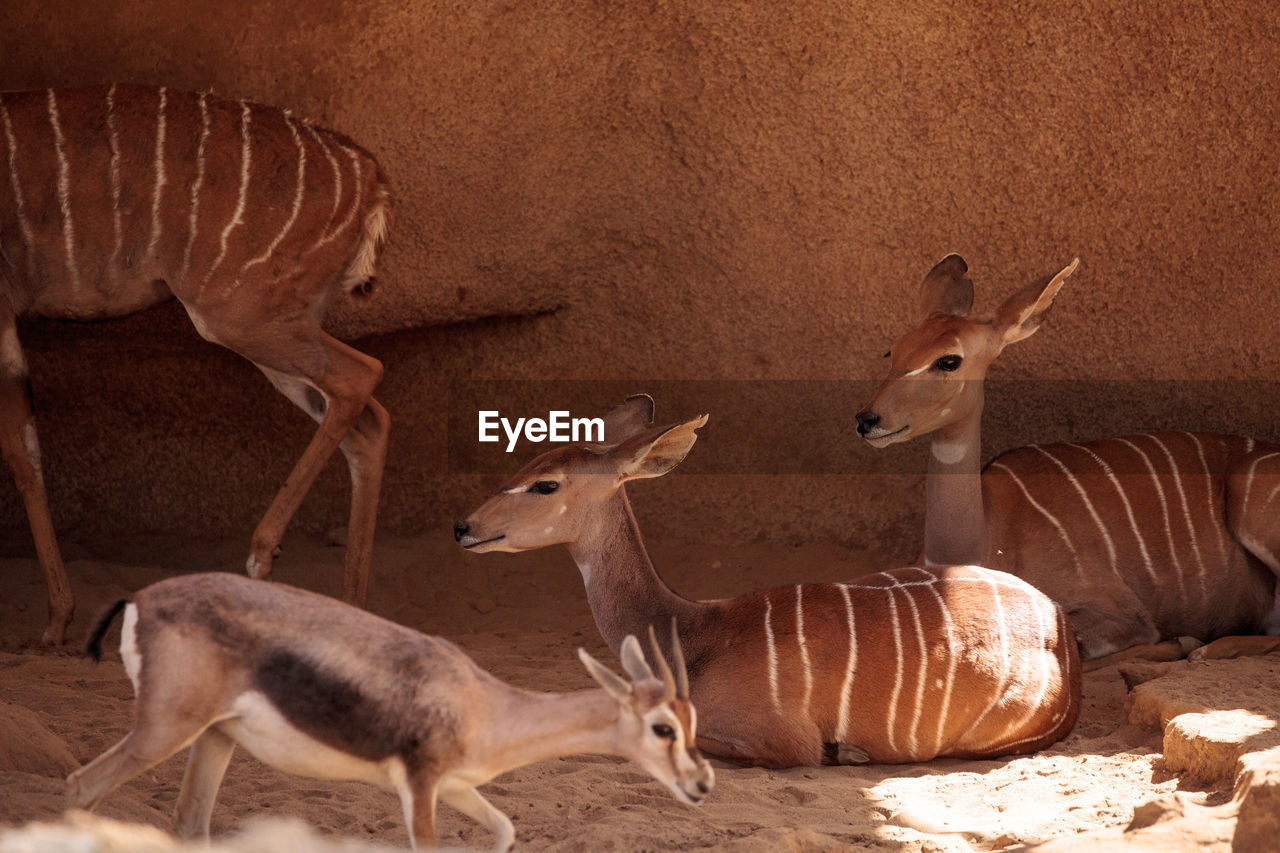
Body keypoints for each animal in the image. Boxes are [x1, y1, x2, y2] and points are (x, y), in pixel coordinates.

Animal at [0, 86, 391, 640]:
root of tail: (369, 176)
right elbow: (28, 452)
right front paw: (57, 621)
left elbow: (19, 455)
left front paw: (55, 623)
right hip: (279, 319)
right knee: (366, 421)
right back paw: (354, 611)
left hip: (238, 314)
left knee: (361, 376)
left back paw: (261, 556)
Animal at [70, 568, 716, 845]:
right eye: (663, 728)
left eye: (693, 724)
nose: (702, 784)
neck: (488, 706)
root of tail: (141, 595)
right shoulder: (419, 786)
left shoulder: (456, 787)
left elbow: (506, 828)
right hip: (164, 730)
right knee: (82, 785)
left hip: (216, 736)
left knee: (189, 823)